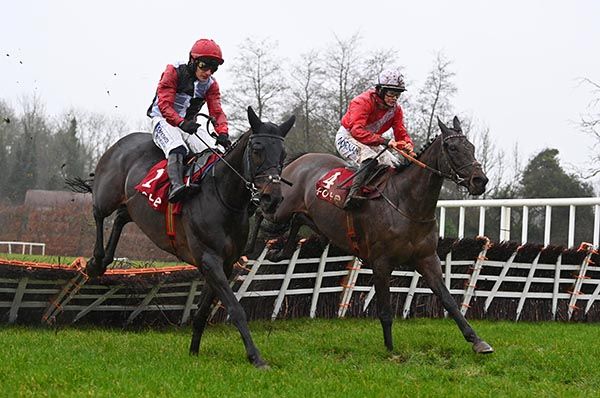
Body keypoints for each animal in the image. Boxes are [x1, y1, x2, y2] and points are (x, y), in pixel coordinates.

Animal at [79, 106, 296, 366]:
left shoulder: (226, 264)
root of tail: (122, 142)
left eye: (283, 153)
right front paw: (256, 357)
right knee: (99, 213)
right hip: (107, 195)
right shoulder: (208, 259)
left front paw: (194, 350)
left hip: (133, 206)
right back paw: (95, 263)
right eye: (257, 150)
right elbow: (235, 308)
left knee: (121, 216)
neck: (223, 197)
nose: (271, 198)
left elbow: (203, 311)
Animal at [262, 116, 492, 352]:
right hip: (280, 208)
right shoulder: (381, 263)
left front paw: (477, 341)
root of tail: (302, 159)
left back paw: (279, 253)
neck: (407, 204)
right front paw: (390, 349)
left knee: (298, 219)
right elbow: (385, 310)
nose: (480, 181)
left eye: (472, 147)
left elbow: (449, 300)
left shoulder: (427, 259)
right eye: (453, 148)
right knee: (265, 214)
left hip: (316, 220)